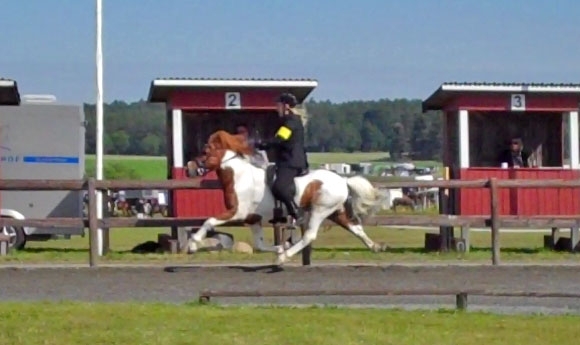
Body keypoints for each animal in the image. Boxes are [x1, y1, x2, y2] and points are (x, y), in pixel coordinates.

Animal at [184, 130, 388, 264]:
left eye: (205, 152)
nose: (189, 169)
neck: (239, 176)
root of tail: (343, 180)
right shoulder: (252, 219)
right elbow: (259, 244)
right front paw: (279, 247)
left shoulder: (236, 213)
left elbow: (209, 221)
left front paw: (192, 245)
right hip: (335, 213)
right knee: (356, 228)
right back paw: (375, 247)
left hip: (320, 211)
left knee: (309, 235)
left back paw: (284, 257)